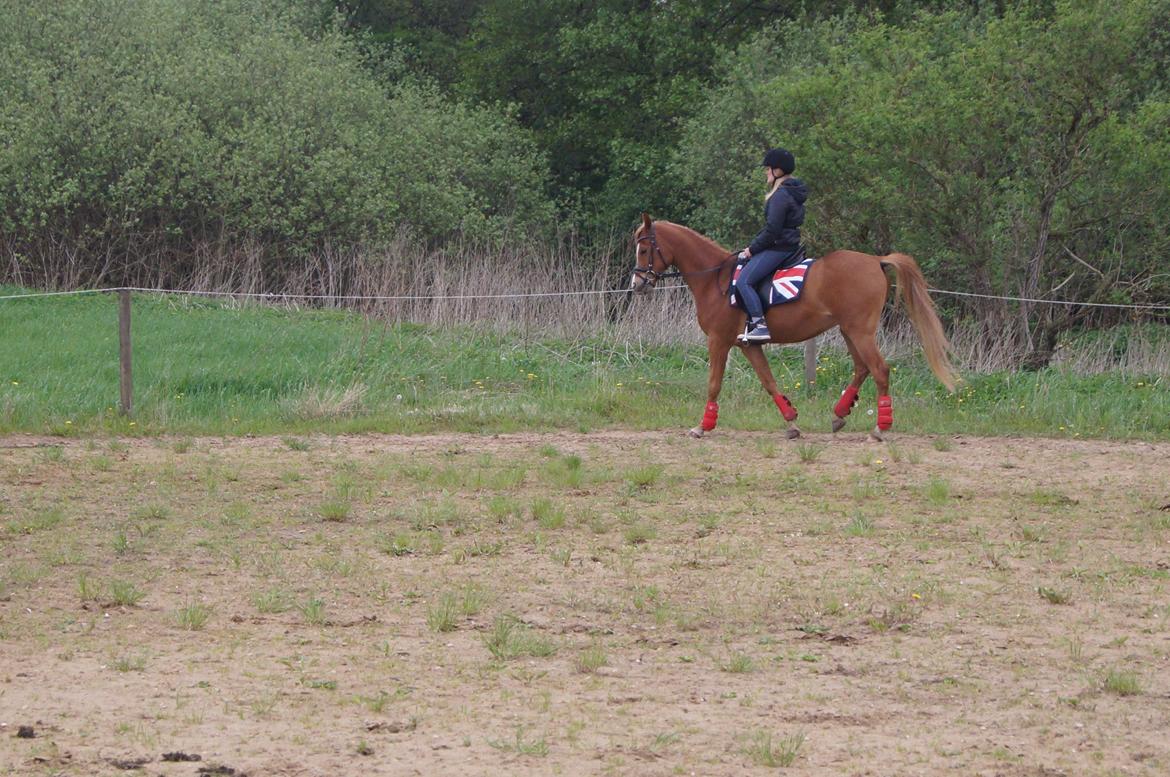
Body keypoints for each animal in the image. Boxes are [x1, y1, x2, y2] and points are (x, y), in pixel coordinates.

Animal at [636, 212, 954, 439]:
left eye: (643, 249)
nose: (637, 283)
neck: (716, 279)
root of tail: (876, 260)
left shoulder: (718, 341)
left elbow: (714, 383)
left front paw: (702, 426)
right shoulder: (747, 344)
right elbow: (768, 380)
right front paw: (791, 422)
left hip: (860, 331)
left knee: (879, 369)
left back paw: (879, 428)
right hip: (849, 330)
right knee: (862, 368)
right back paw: (839, 414)